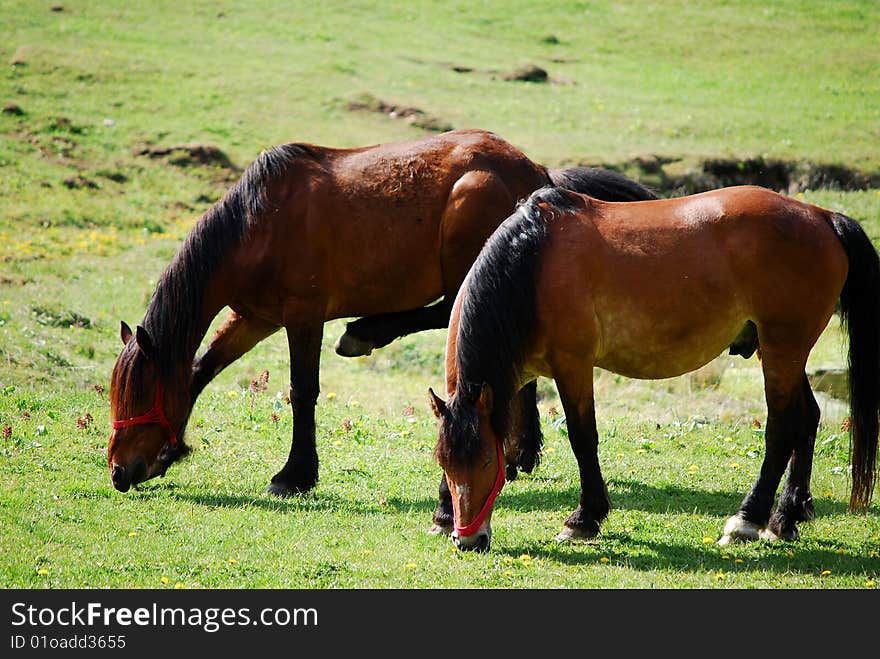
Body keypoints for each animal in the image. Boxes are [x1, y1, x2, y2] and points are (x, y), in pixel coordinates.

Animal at [106, 130, 652, 520]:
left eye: (139, 393)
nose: (118, 471)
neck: (260, 222)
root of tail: (535, 170)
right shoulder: (254, 318)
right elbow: (200, 372)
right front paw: (171, 450)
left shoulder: (302, 316)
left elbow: (302, 391)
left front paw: (295, 474)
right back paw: (519, 451)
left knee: (444, 310)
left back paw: (365, 332)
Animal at [430, 184, 876, 552]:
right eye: (447, 465)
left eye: (486, 464)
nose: (469, 541)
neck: (533, 262)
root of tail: (822, 216)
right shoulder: (518, 374)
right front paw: (443, 514)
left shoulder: (573, 367)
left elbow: (582, 439)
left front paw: (584, 519)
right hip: (781, 352)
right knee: (808, 416)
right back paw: (786, 517)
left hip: (783, 350)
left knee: (782, 427)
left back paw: (747, 521)